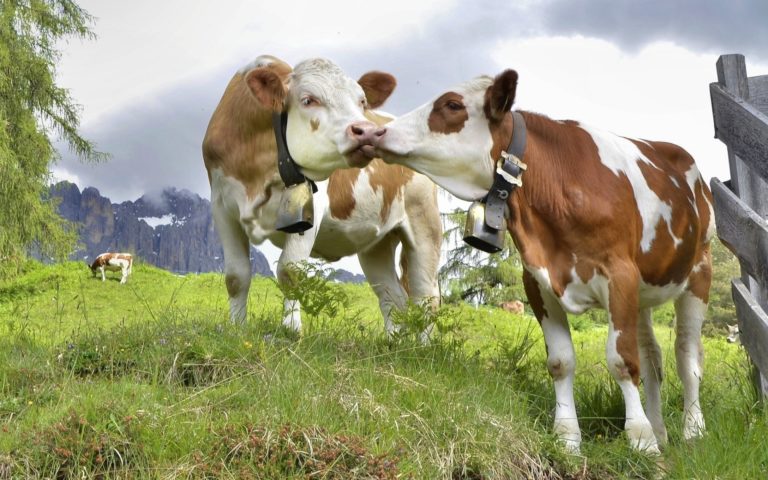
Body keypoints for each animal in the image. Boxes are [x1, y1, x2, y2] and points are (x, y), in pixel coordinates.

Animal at [202, 56, 444, 338]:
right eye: (308, 100)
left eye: (362, 101)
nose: (367, 131)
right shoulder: (222, 207)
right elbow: (235, 276)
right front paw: (237, 328)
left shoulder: (311, 207)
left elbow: (290, 270)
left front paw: (291, 330)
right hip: (377, 244)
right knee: (391, 296)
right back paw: (394, 341)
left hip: (424, 223)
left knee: (426, 298)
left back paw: (422, 345)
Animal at [376, 68, 716, 454]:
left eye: (452, 105)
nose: (378, 132)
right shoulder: (538, 280)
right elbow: (561, 361)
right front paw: (568, 438)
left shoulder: (619, 275)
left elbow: (621, 360)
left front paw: (640, 440)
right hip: (644, 291)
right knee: (653, 357)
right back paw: (660, 431)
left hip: (699, 274)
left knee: (687, 357)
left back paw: (692, 431)